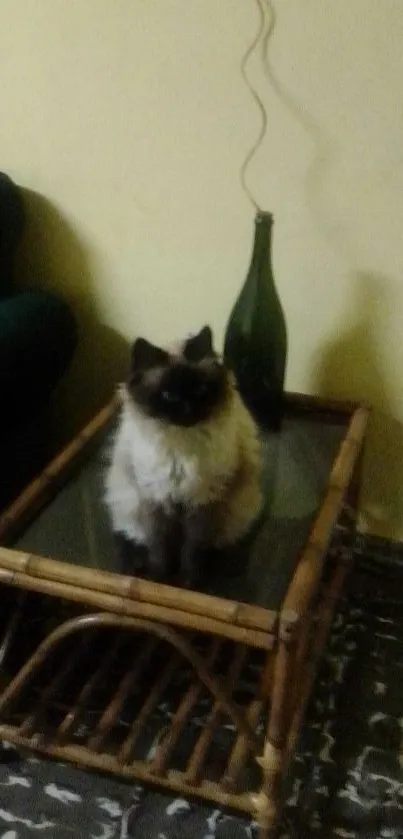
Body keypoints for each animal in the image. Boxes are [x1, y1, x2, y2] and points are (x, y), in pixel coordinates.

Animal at [105, 324, 262, 588]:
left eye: (200, 390)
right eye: (168, 395)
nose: (189, 411)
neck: (180, 448)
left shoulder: (202, 502)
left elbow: (192, 550)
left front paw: (188, 582)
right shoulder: (155, 500)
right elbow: (159, 549)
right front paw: (159, 579)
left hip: (236, 512)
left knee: (226, 542)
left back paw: (228, 566)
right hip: (130, 503)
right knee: (130, 536)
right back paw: (135, 566)